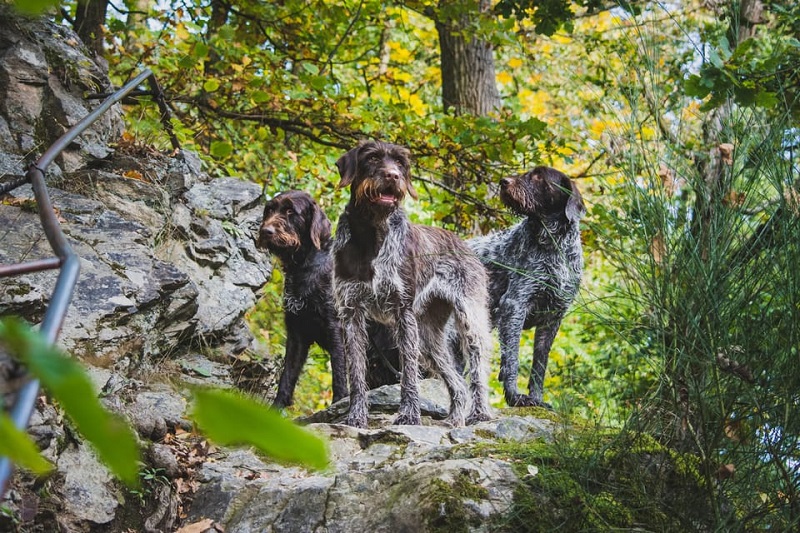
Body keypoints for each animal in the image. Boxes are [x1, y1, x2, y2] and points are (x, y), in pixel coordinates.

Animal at [332, 140, 494, 428]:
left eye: (400, 163)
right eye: (372, 158)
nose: (393, 176)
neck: (372, 234)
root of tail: (464, 244)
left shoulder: (402, 311)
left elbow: (408, 372)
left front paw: (408, 415)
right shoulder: (351, 313)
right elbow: (357, 372)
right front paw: (356, 417)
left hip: (468, 318)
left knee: (477, 367)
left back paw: (480, 413)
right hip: (427, 336)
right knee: (457, 382)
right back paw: (455, 420)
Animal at [472, 167, 584, 408]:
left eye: (539, 176)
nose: (503, 182)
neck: (554, 244)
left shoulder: (553, 318)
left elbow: (539, 366)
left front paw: (536, 398)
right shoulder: (514, 306)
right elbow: (511, 360)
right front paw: (515, 396)